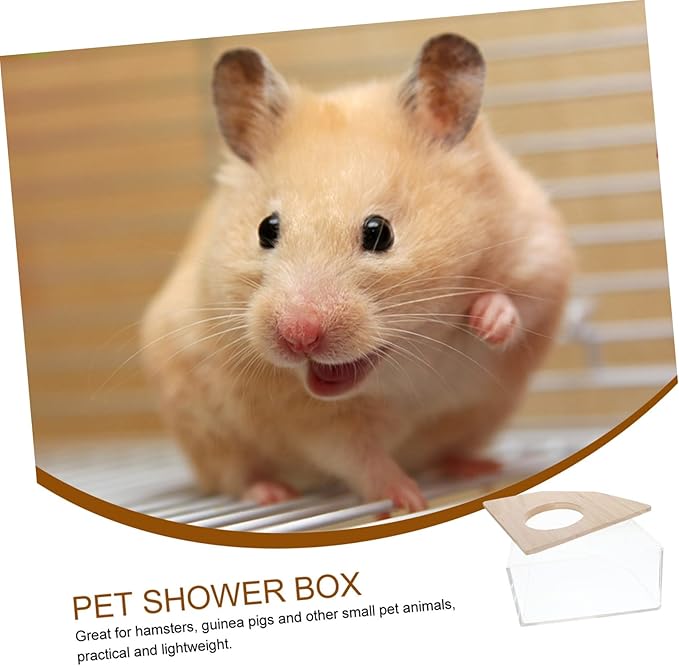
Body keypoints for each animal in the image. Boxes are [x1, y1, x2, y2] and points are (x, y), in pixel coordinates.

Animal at [141, 34, 573, 512]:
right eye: (266, 229)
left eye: (379, 232)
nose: (297, 337)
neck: (407, 358)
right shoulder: (319, 420)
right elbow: (360, 459)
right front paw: (411, 500)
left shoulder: (541, 255)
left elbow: (520, 302)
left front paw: (487, 322)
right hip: (206, 432)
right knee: (234, 476)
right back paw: (272, 493)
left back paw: (476, 466)